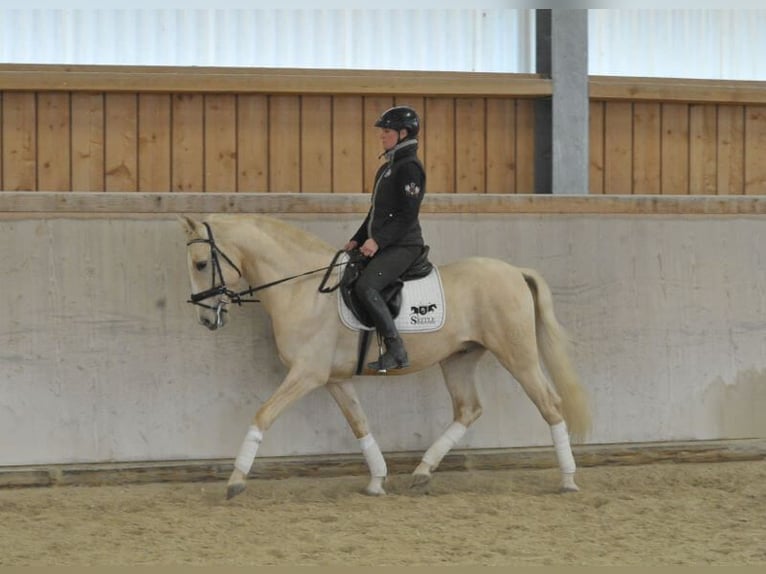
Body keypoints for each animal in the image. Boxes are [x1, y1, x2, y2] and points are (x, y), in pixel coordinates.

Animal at [182, 214, 592, 502]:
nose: (205, 319)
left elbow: (263, 415)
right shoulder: (335, 379)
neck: (304, 288)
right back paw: (423, 471)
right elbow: (359, 424)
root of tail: (515, 272)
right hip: (459, 359)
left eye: (201, 264)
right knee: (468, 409)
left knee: (550, 405)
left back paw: (569, 479)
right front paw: (377, 480)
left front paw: (236, 480)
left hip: (517, 355)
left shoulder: (306, 375)